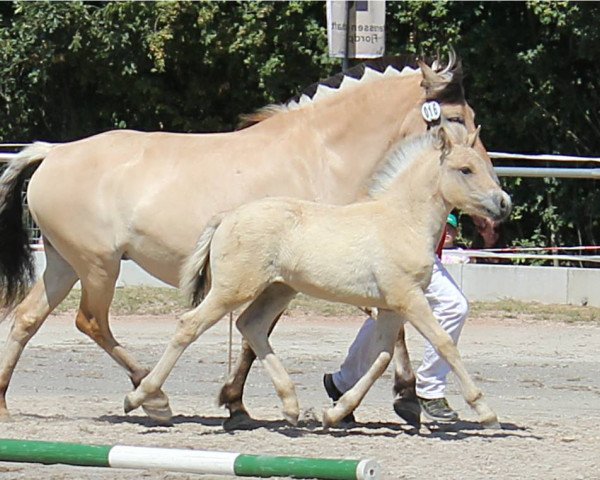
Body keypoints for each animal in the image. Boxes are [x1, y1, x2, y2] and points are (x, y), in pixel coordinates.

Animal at [123, 121, 510, 428]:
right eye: (465, 169)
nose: (503, 204)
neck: (401, 221)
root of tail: (227, 216)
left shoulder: (390, 307)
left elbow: (382, 358)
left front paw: (335, 413)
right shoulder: (408, 298)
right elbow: (444, 344)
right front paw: (486, 411)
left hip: (278, 290)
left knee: (251, 326)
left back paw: (292, 407)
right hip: (232, 289)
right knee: (190, 325)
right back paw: (142, 397)